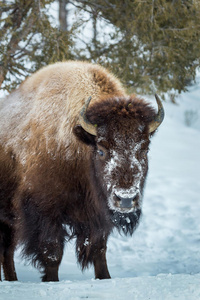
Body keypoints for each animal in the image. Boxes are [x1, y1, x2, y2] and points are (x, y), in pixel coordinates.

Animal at [0, 60, 164, 282]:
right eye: (101, 150)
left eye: (144, 149)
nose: (126, 199)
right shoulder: (44, 211)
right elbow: (52, 253)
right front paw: (51, 281)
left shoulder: (98, 217)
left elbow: (99, 251)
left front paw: (105, 277)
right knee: (7, 251)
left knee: (6, 251)